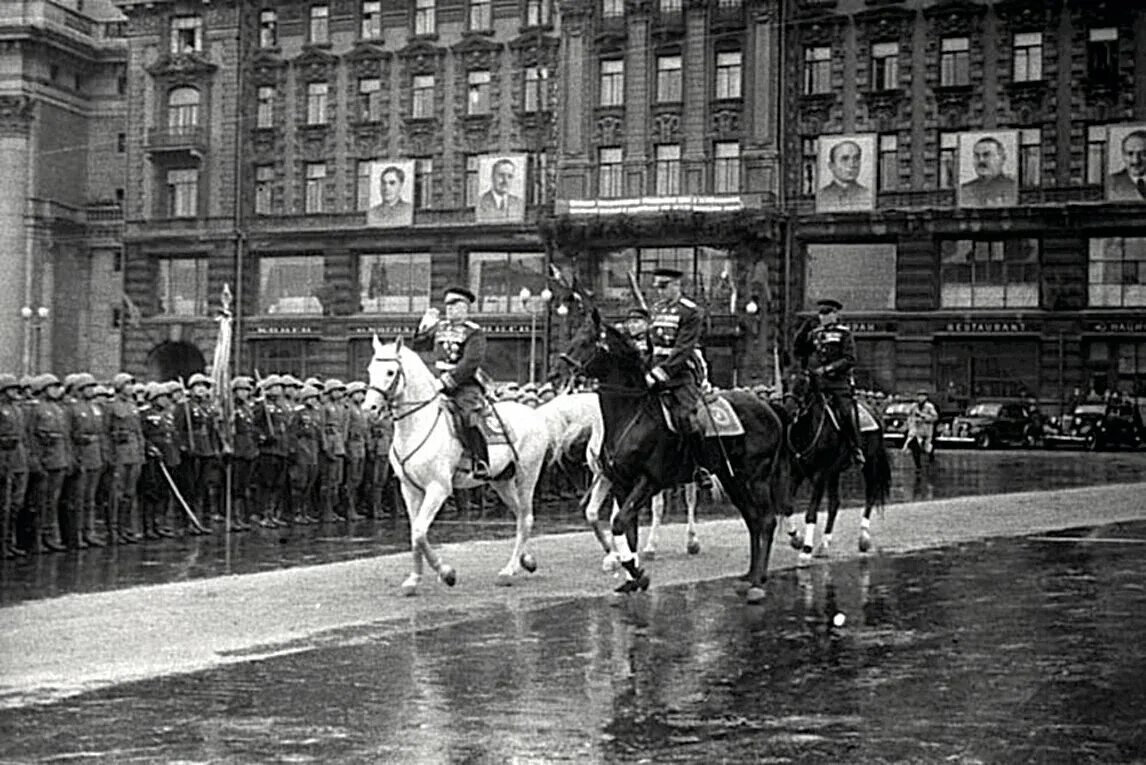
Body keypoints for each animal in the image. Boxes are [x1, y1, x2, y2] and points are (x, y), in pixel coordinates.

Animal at [364, 332, 582, 595]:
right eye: (370, 369)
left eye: (390, 372)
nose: (369, 409)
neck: (417, 425)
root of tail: (535, 413)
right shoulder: (410, 489)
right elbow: (415, 533)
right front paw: (414, 579)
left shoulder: (438, 488)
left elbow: (419, 532)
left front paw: (446, 573)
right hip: (502, 481)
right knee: (520, 515)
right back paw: (526, 560)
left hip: (527, 475)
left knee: (527, 518)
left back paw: (509, 570)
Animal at [561, 306, 788, 604]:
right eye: (575, 335)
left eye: (588, 340)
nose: (563, 367)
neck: (631, 414)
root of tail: (768, 406)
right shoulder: (620, 483)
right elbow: (626, 529)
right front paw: (632, 576)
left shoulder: (649, 481)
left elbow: (620, 523)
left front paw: (637, 571)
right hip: (732, 478)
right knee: (752, 519)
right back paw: (749, 576)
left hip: (756, 477)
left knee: (766, 520)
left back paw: (758, 582)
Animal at [783, 371, 889, 556]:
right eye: (784, 380)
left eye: (803, 382)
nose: (788, 412)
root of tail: (873, 410)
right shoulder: (796, 472)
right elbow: (788, 506)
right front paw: (797, 539)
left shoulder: (819, 474)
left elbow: (811, 513)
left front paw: (806, 549)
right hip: (834, 472)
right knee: (834, 503)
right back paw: (825, 543)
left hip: (870, 463)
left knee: (871, 493)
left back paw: (863, 538)